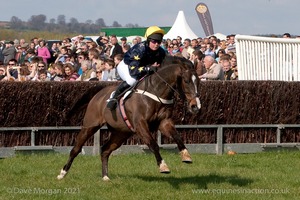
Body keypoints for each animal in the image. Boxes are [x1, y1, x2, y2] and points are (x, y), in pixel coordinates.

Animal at [56, 55, 202, 180]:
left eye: (199, 81)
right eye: (186, 81)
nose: (196, 106)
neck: (156, 91)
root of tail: (98, 94)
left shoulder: (164, 122)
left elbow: (177, 136)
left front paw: (186, 156)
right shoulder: (140, 124)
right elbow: (153, 144)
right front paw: (163, 166)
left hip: (120, 133)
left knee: (105, 150)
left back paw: (105, 176)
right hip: (90, 125)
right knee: (76, 149)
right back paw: (62, 173)